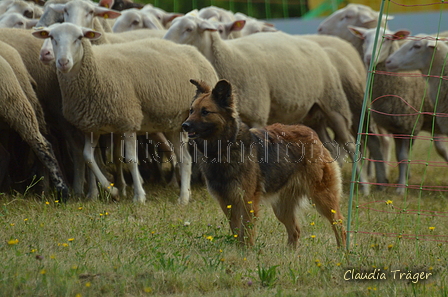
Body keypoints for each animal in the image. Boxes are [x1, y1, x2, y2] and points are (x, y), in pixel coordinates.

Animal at [31, 22, 219, 204]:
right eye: (52, 37)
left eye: (79, 37)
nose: (63, 62)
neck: (96, 69)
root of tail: (196, 52)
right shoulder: (91, 126)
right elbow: (88, 157)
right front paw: (108, 192)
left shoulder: (128, 120)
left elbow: (130, 159)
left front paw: (139, 196)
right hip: (175, 124)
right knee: (185, 159)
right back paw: (184, 197)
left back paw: (188, 193)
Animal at [164, 14, 372, 194]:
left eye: (189, 29)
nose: (165, 41)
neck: (228, 56)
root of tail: (314, 42)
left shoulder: (258, 113)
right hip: (312, 114)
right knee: (330, 146)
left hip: (333, 104)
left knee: (349, 143)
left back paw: (363, 186)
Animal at [182, 78, 346, 247]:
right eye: (191, 110)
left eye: (205, 112)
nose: (184, 126)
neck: (225, 147)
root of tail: (311, 133)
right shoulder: (227, 203)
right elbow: (236, 231)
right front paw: (237, 249)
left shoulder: (246, 201)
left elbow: (246, 233)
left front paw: (246, 251)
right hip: (282, 207)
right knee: (295, 230)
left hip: (323, 197)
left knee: (339, 223)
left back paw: (342, 250)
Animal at [348, 26, 448, 193]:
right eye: (365, 38)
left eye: (387, 39)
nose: (368, 58)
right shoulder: (396, 127)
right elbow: (398, 156)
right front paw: (402, 180)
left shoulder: (410, 126)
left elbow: (403, 156)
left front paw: (401, 189)